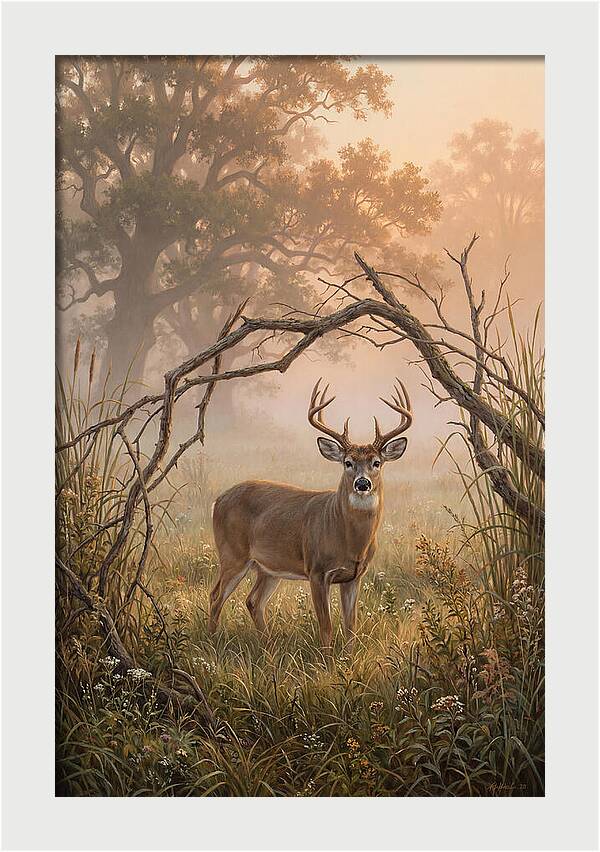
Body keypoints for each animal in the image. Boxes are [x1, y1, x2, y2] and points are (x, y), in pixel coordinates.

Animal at [208, 378, 412, 656]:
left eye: (377, 462)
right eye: (348, 462)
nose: (362, 483)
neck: (349, 540)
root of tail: (218, 500)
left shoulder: (354, 576)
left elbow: (351, 627)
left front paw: (348, 660)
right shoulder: (316, 570)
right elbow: (326, 627)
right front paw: (327, 662)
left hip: (268, 567)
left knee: (253, 601)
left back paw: (269, 648)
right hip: (232, 554)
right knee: (216, 596)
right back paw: (210, 642)